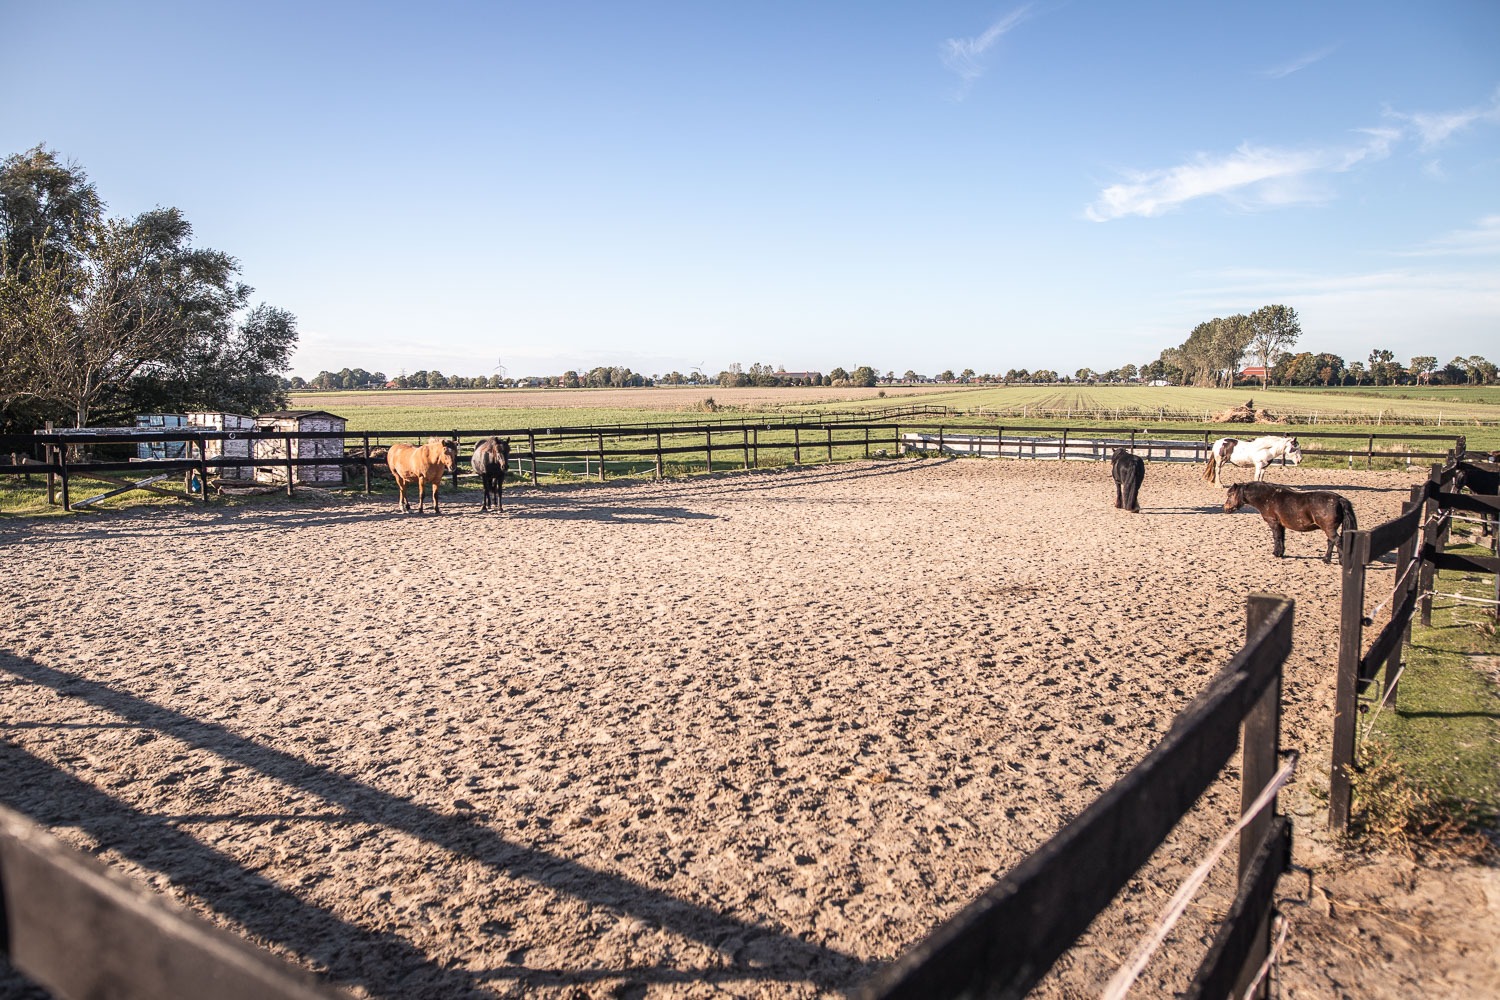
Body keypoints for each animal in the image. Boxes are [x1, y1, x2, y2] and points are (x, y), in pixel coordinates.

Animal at [1224, 482, 1356, 563]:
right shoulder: (1281, 525)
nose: (1225, 508)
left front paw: (1276, 553)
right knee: (1331, 542)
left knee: (1337, 541)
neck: (1268, 498)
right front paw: (1280, 553)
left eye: (1230, 495)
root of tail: (1339, 499)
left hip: (1329, 529)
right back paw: (1326, 559)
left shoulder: (1274, 523)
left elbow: (1277, 538)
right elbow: (1282, 538)